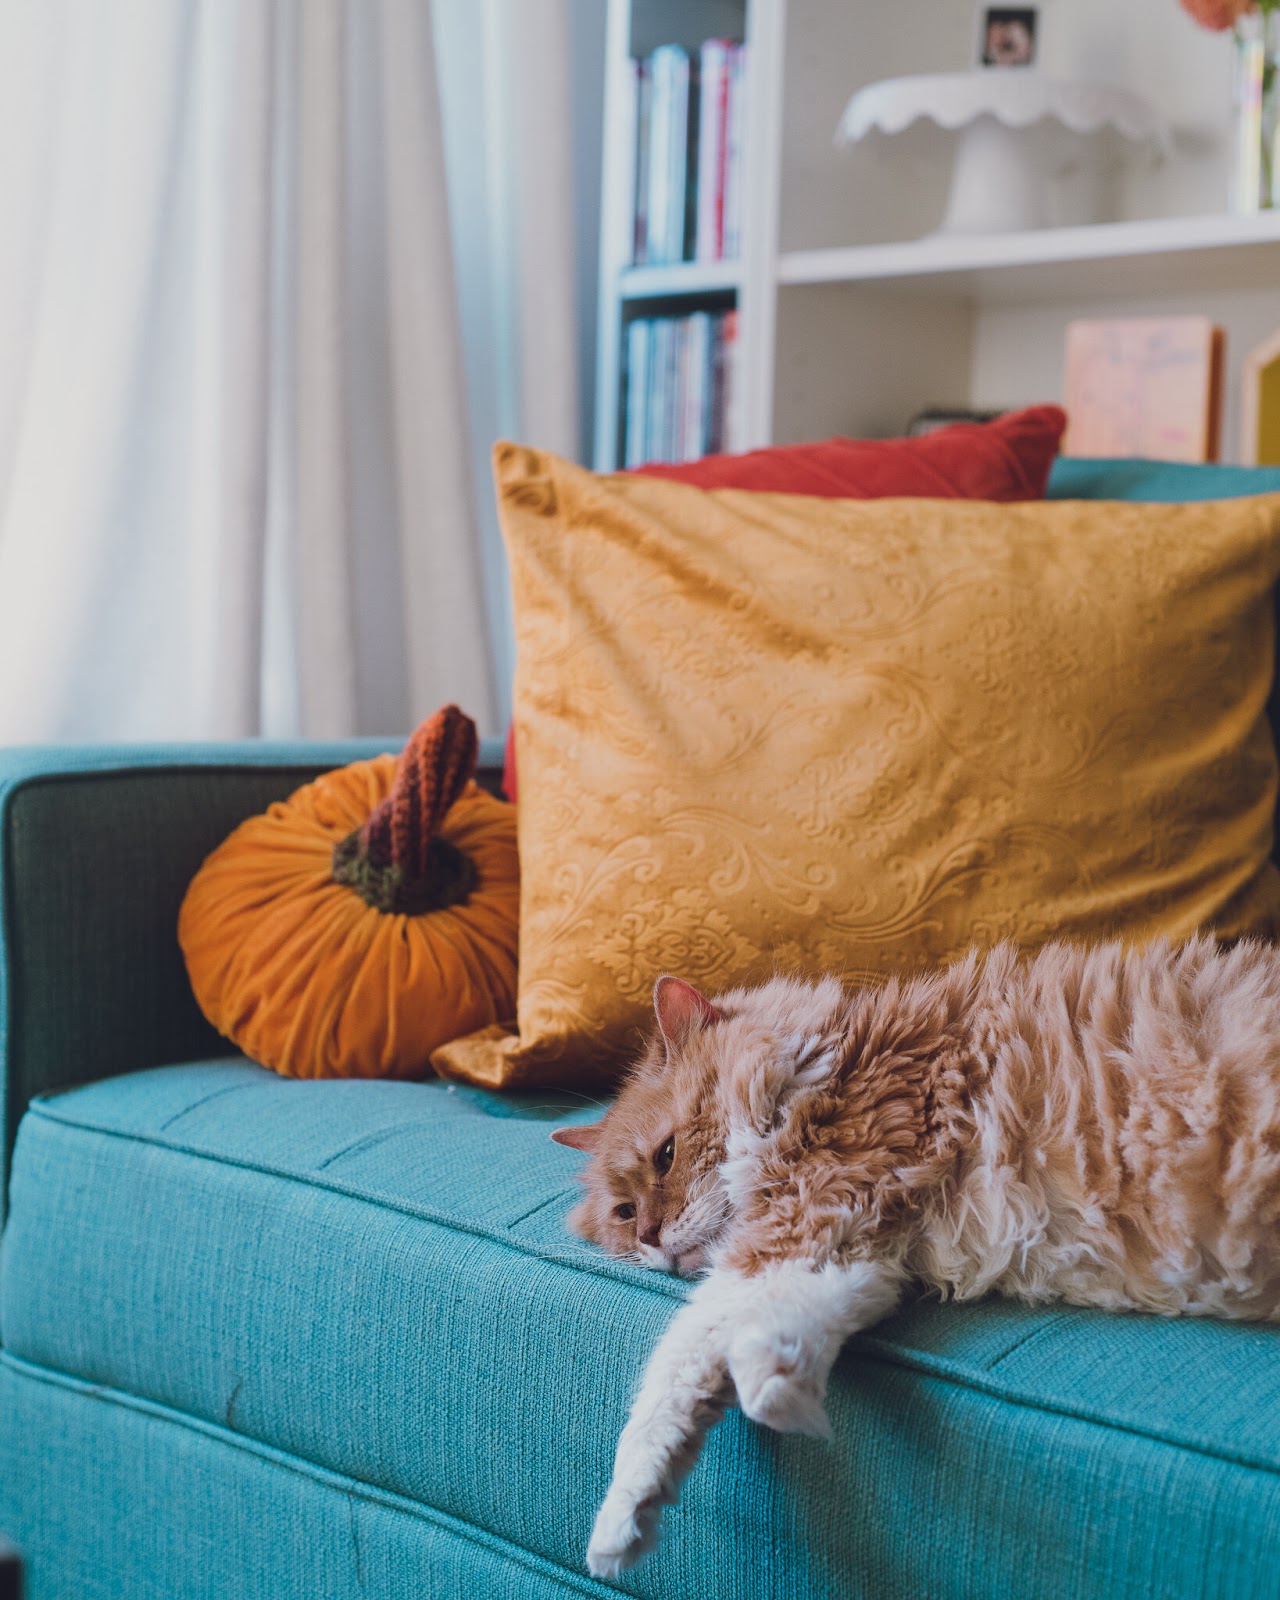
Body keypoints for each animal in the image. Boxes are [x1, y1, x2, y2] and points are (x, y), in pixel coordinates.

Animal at [553, 934, 1280, 1574]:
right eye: (623, 1213)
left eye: (667, 1155)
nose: (649, 1237)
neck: (826, 1064)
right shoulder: (856, 1248)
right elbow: (756, 1341)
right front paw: (786, 1397)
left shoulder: (805, 1216)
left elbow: (676, 1366)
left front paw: (616, 1526)